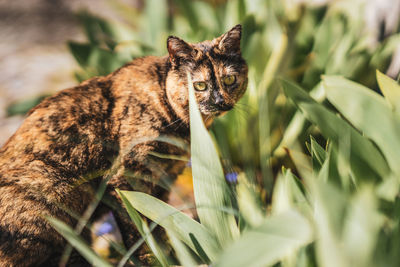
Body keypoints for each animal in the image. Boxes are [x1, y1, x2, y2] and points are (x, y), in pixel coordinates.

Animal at [0, 24, 247, 266]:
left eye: (229, 80)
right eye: (200, 85)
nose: (220, 102)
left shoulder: (162, 182)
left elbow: (158, 224)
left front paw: (170, 255)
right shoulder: (126, 179)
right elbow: (138, 231)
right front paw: (152, 260)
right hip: (54, 195)